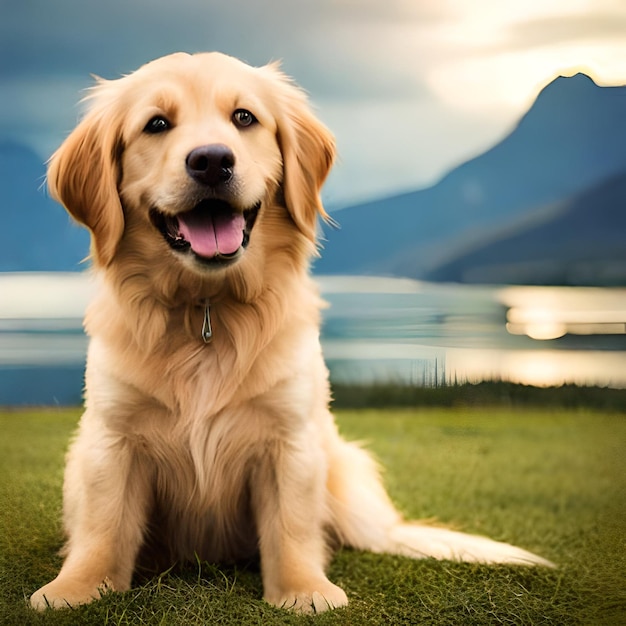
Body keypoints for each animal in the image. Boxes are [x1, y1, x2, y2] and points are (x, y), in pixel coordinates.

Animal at [29, 51, 552, 612]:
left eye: (244, 118)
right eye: (156, 124)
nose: (212, 161)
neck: (206, 312)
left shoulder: (290, 440)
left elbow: (291, 526)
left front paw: (305, 591)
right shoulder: (111, 439)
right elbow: (103, 528)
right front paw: (77, 588)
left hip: (345, 465)